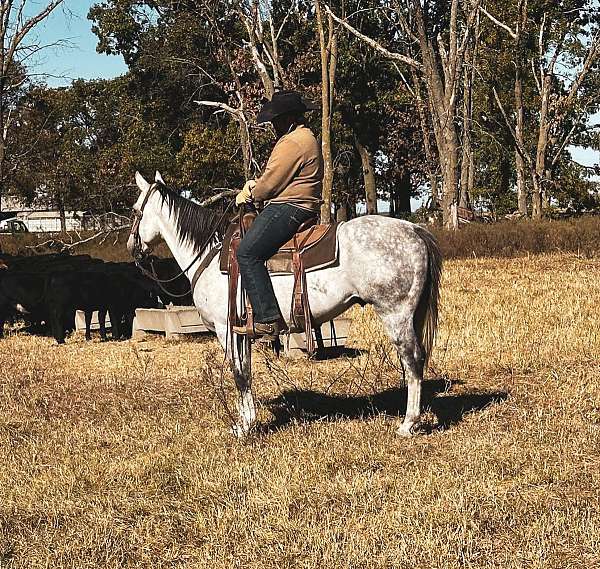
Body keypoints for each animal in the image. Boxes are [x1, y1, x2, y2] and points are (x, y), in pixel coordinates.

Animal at [127, 171, 446, 438]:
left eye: (134, 210)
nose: (132, 248)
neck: (209, 254)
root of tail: (414, 230)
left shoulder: (224, 329)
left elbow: (239, 374)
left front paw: (244, 427)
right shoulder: (241, 331)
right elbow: (246, 372)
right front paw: (247, 420)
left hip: (395, 314)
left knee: (412, 360)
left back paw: (407, 424)